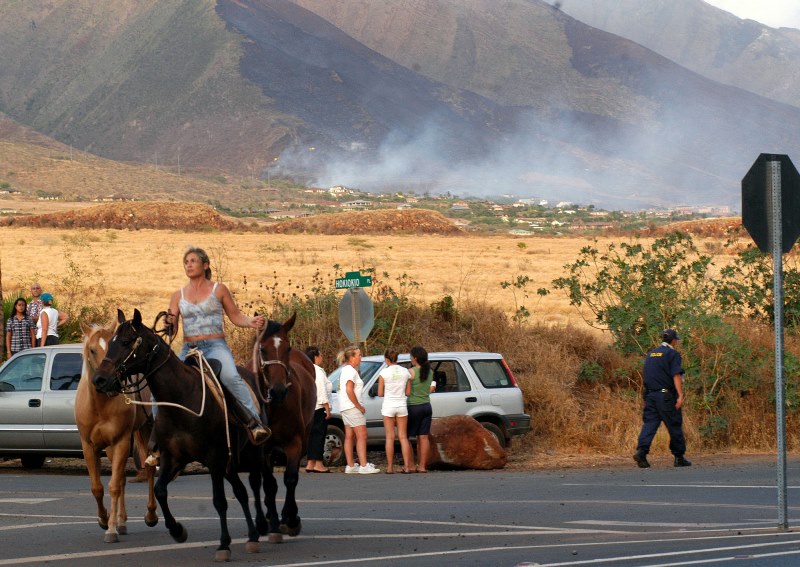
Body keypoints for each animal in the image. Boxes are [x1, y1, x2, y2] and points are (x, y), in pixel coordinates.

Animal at [75, 322, 158, 544]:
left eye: (115, 346)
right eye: (92, 350)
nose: (105, 381)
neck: (99, 406)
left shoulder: (121, 441)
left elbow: (113, 486)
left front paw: (110, 529)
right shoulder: (89, 446)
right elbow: (98, 487)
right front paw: (104, 520)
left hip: (145, 431)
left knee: (148, 470)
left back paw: (150, 515)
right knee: (121, 480)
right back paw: (122, 522)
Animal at [93, 310, 268, 564]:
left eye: (126, 342)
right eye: (111, 343)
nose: (99, 380)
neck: (182, 397)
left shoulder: (214, 459)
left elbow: (219, 501)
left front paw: (223, 544)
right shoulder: (172, 458)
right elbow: (160, 490)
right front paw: (177, 530)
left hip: (251, 454)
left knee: (255, 485)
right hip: (228, 464)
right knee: (242, 492)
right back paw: (253, 536)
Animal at [252, 312, 314, 544]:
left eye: (287, 347)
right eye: (262, 349)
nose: (278, 390)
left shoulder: (294, 442)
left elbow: (290, 478)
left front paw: (291, 518)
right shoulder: (262, 449)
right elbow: (269, 484)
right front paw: (273, 521)